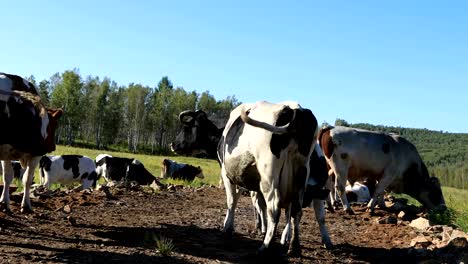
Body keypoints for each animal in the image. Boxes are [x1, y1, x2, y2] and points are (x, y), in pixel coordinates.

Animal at [0, 72, 63, 212]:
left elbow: (7, 177)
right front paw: (26, 205)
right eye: (55, 125)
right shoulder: (36, 153)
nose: (52, 146)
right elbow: (27, 180)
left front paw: (4, 202)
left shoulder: (7, 152)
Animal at [318, 126, 446, 214]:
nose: (444, 207)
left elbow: (381, 192)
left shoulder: (381, 176)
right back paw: (347, 208)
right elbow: (378, 190)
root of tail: (330, 128)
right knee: (339, 187)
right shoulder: (389, 175)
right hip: (340, 168)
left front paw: (381, 205)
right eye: (436, 192)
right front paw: (370, 207)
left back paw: (331, 206)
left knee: (328, 185)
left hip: (329, 168)